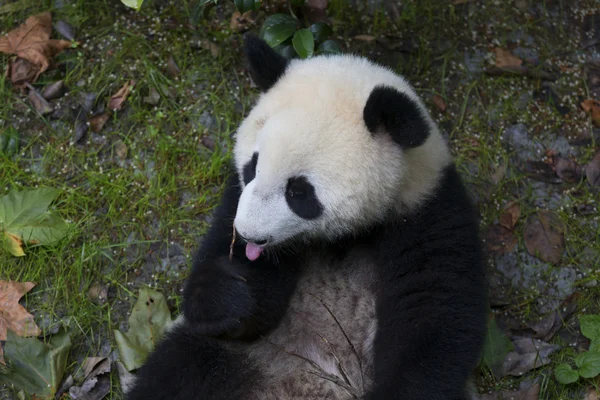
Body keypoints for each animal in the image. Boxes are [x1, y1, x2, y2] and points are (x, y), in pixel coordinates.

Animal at [127, 35, 488, 400]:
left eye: (299, 192)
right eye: (252, 166)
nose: (248, 235)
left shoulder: (427, 212)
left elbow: (433, 318)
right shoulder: (235, 200)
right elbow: (230, 283)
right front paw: (230, 294)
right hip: (241, 357)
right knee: (179, 369)